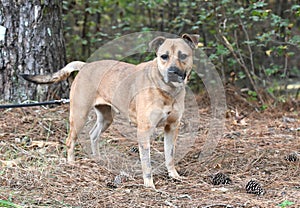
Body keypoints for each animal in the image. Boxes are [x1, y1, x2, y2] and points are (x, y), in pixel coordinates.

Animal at [21, 33, 199, 188]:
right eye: (164, 56)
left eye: (183, 56)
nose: (173, 72)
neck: (167, 90)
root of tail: (85, 65)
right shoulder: (144, 130)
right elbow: (146, 162)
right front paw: (149, 184)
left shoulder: (172, 127)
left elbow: (170, 154)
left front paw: (173, 175)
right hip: (79, 115)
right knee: (70, 141)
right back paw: (71, 164)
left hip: (106, 117)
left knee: (93, 134)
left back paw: (98, 159)